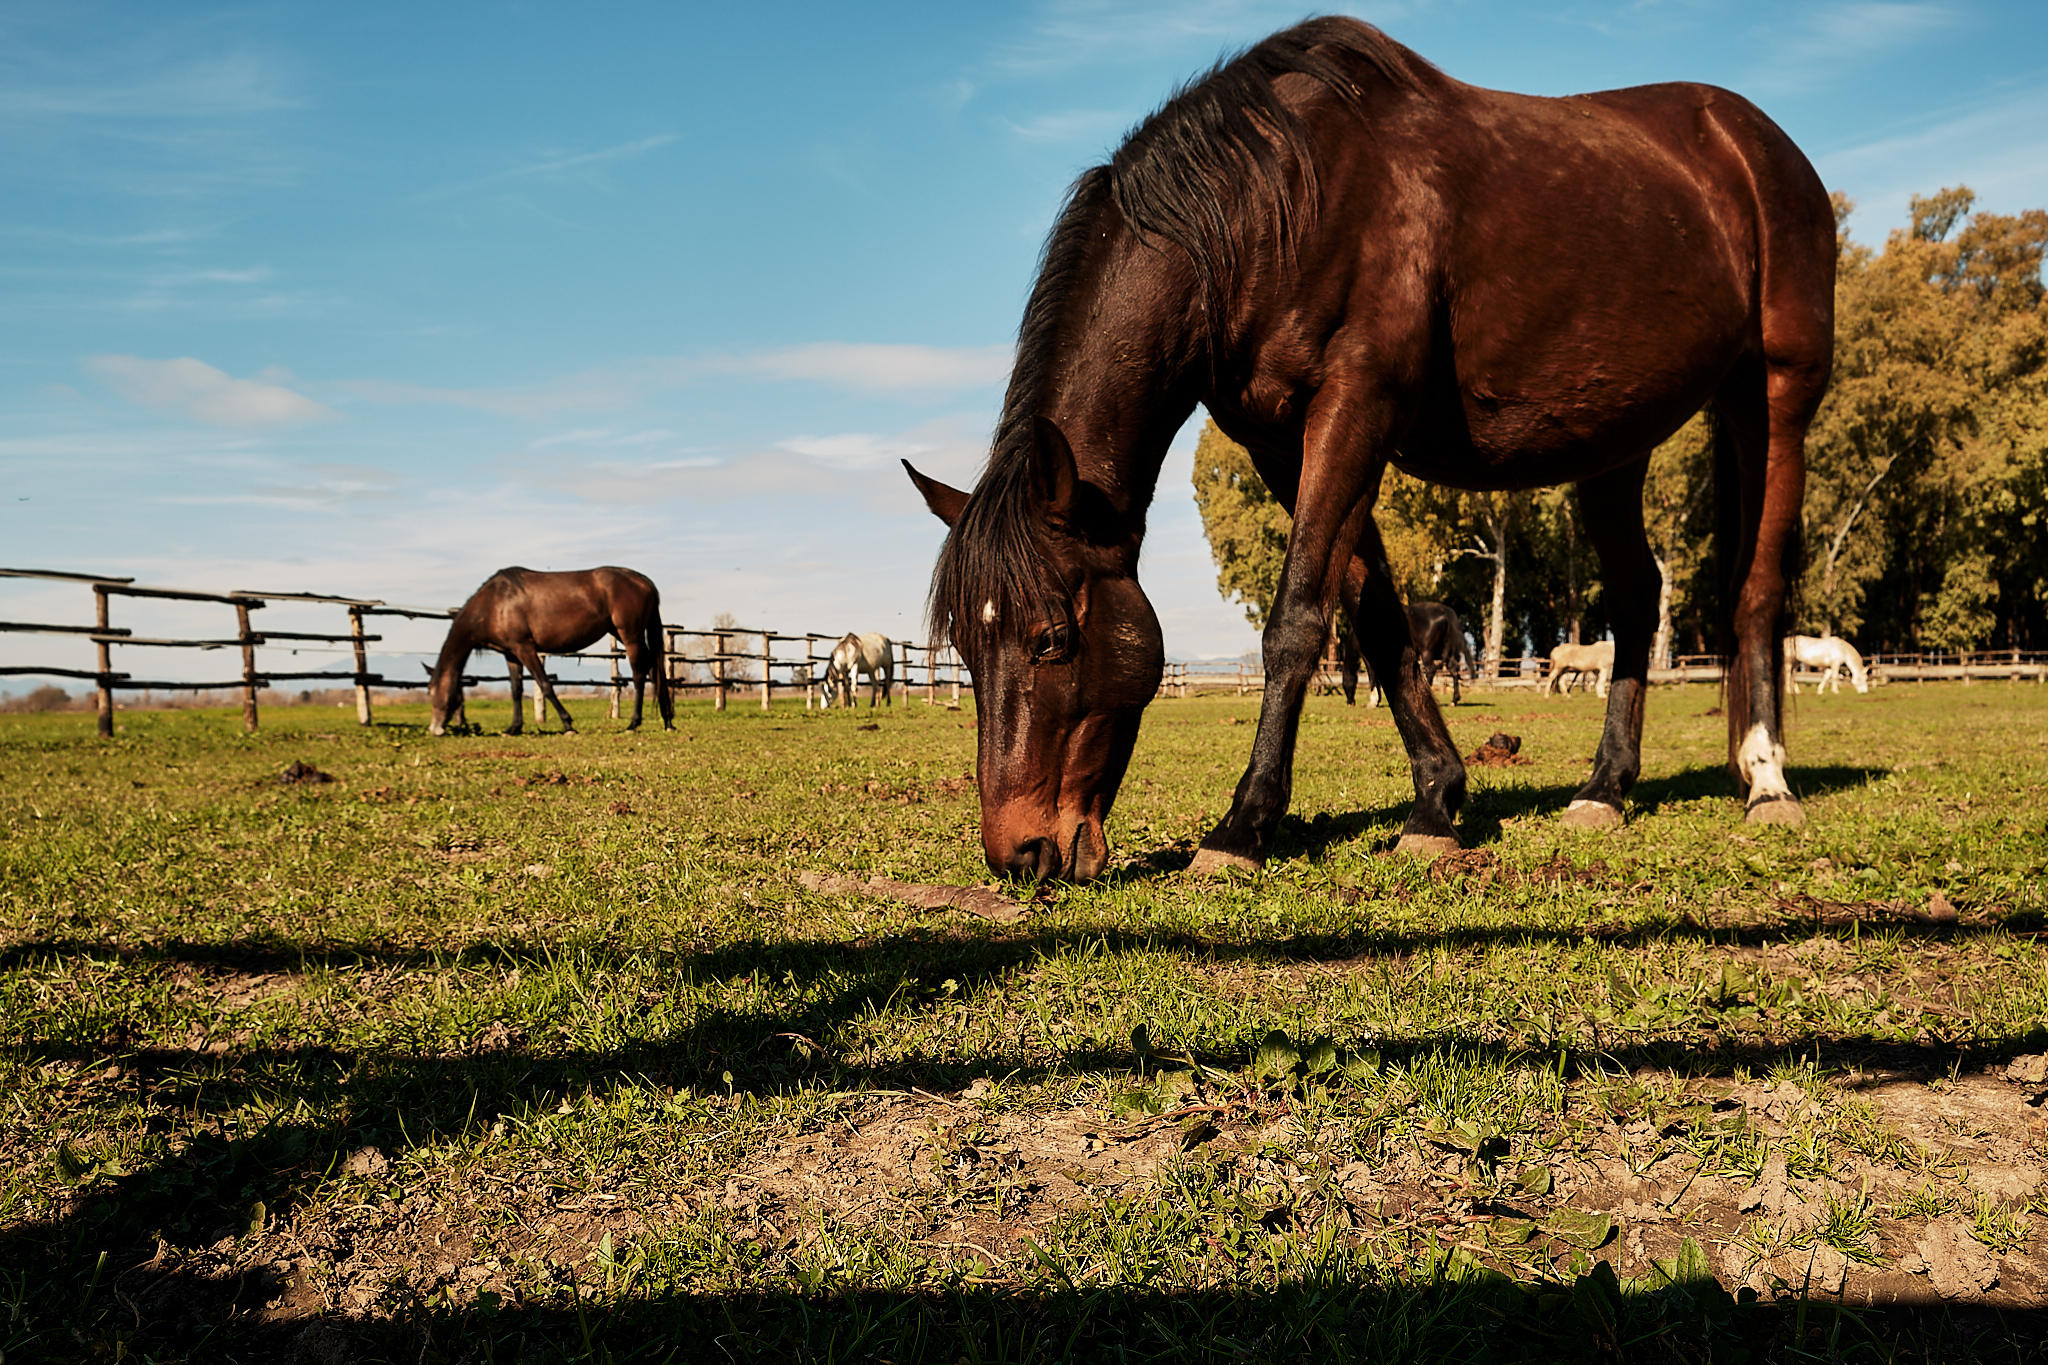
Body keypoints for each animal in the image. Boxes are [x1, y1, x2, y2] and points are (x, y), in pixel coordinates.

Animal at [427, 567, 673, 736]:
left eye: (432, 692)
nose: (434, 729)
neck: (495, 603)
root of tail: (644, 581)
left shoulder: (525, 648)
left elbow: (545, 684)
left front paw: (567, 725)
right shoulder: (511, 653)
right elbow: (516, 690)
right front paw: (513, 728)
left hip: (630, 635)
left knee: (640, 673)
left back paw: (634, 723)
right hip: (623, 633)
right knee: (654, 667)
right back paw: (668, 720)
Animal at [1338, 602, 1477, 705]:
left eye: (1344, 684)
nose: (1350, 702)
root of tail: (1443, 610)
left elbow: (1372, 676)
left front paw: (1373, 701)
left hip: (1427, 650)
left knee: (1431, 670)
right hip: (1444, 649)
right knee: (1453, 670)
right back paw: (1454, 700)